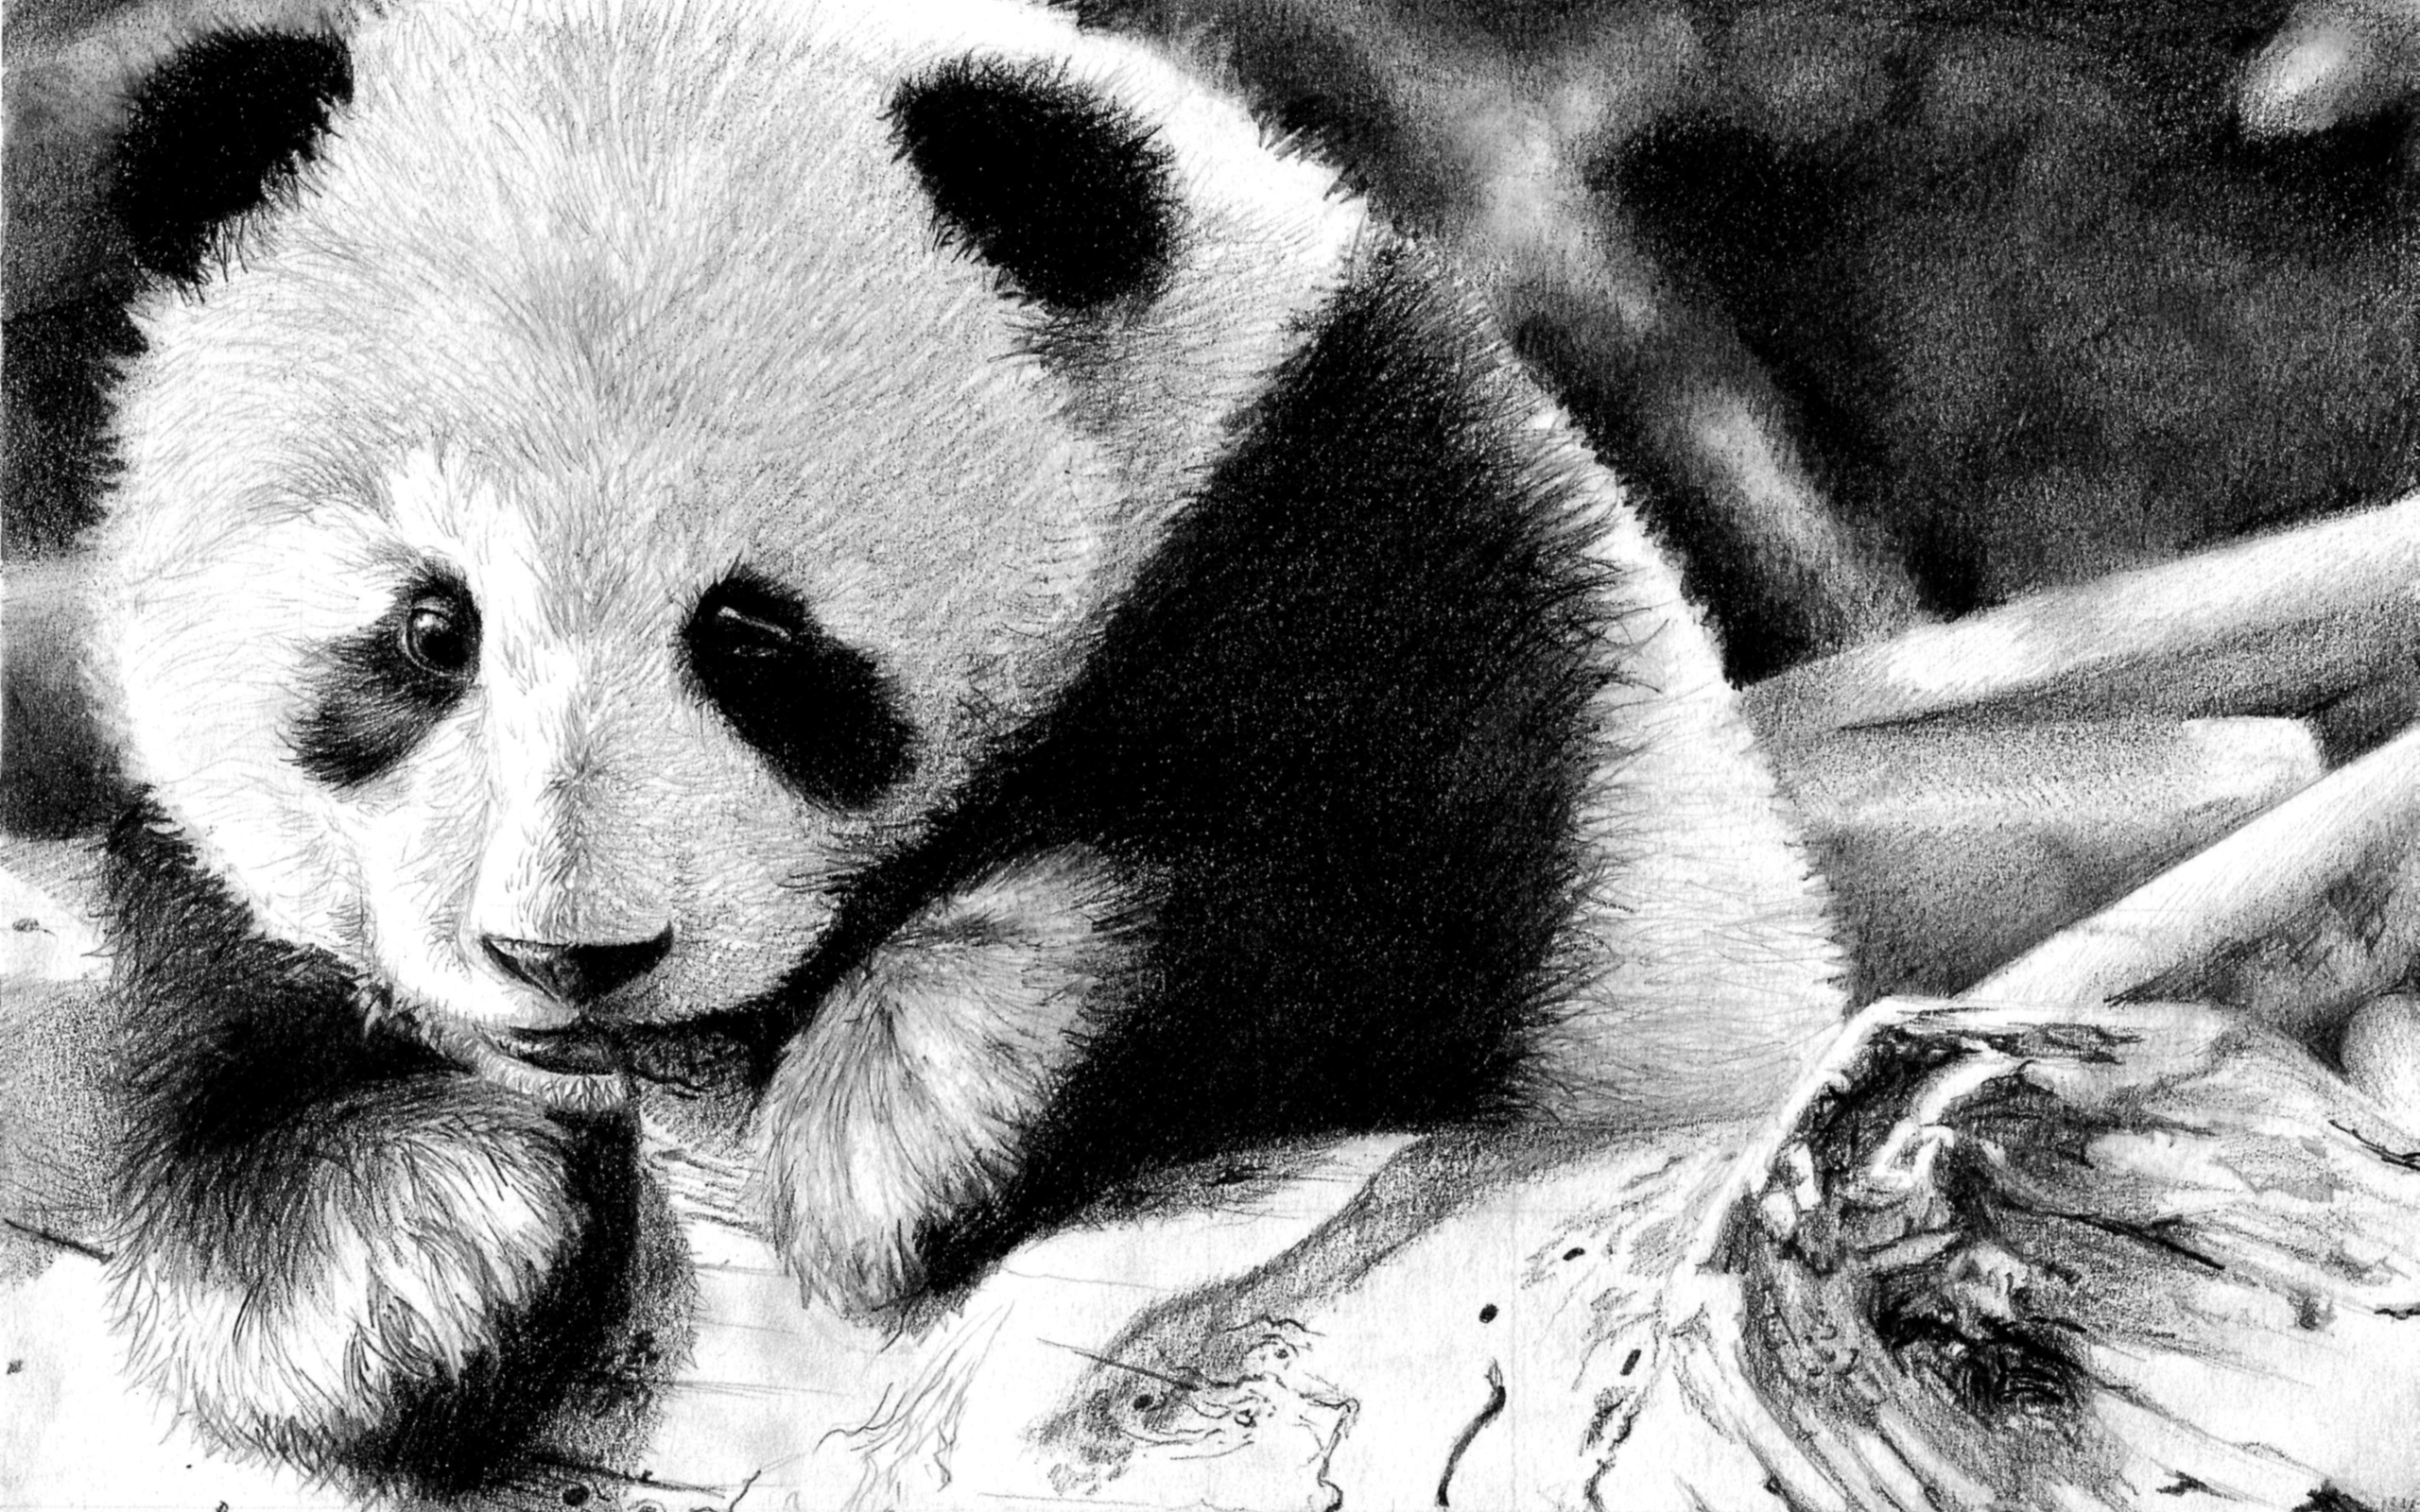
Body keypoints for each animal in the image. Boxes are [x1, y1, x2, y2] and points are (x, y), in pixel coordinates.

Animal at [85, 0, 1845, 1486]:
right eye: (430, 629)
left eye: (753, 637)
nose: (571, 957)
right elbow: (237, 974)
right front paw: (384, 1256)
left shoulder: (1368, 530)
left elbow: (1346, 882)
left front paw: (896, 1122)